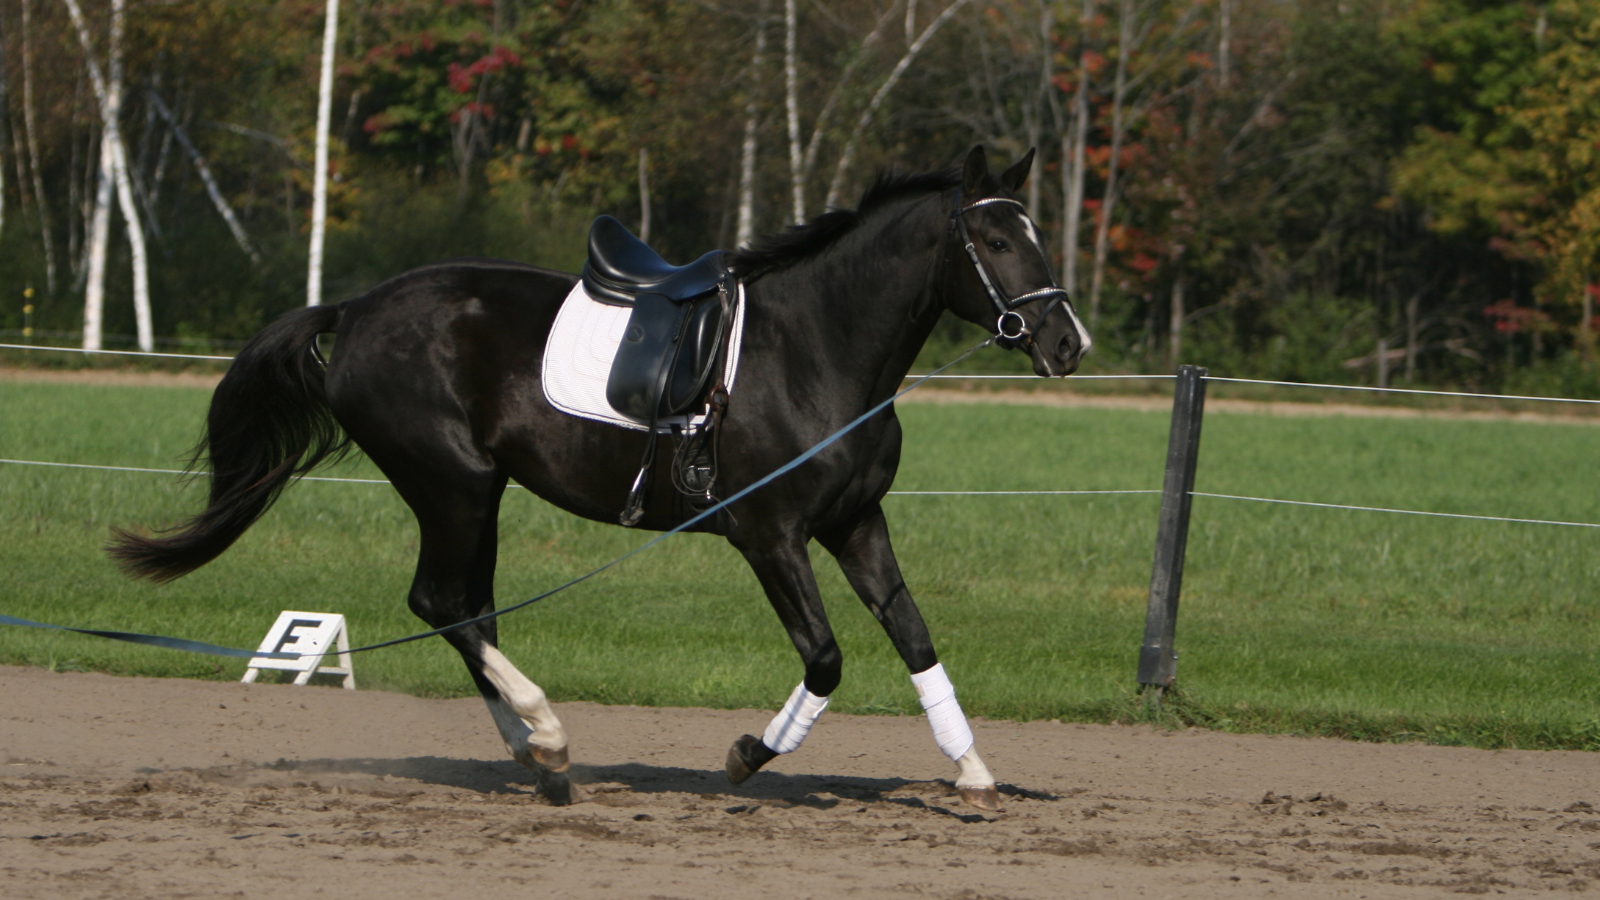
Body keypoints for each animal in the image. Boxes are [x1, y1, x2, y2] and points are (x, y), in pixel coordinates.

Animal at [110, 146, 1091, 811]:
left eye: (1035, 233)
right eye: (995, 237)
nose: (1067, 342)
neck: (814, 352)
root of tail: (354, 309)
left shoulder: (857, 524)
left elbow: (918, 642)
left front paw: (973, 770)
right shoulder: (770, 535)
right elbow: (826, 658)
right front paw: (748, 755)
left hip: (476, 495)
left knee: (470, 610)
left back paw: (539, 759)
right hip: (454, 484)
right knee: (443, 603)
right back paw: (545, 733)